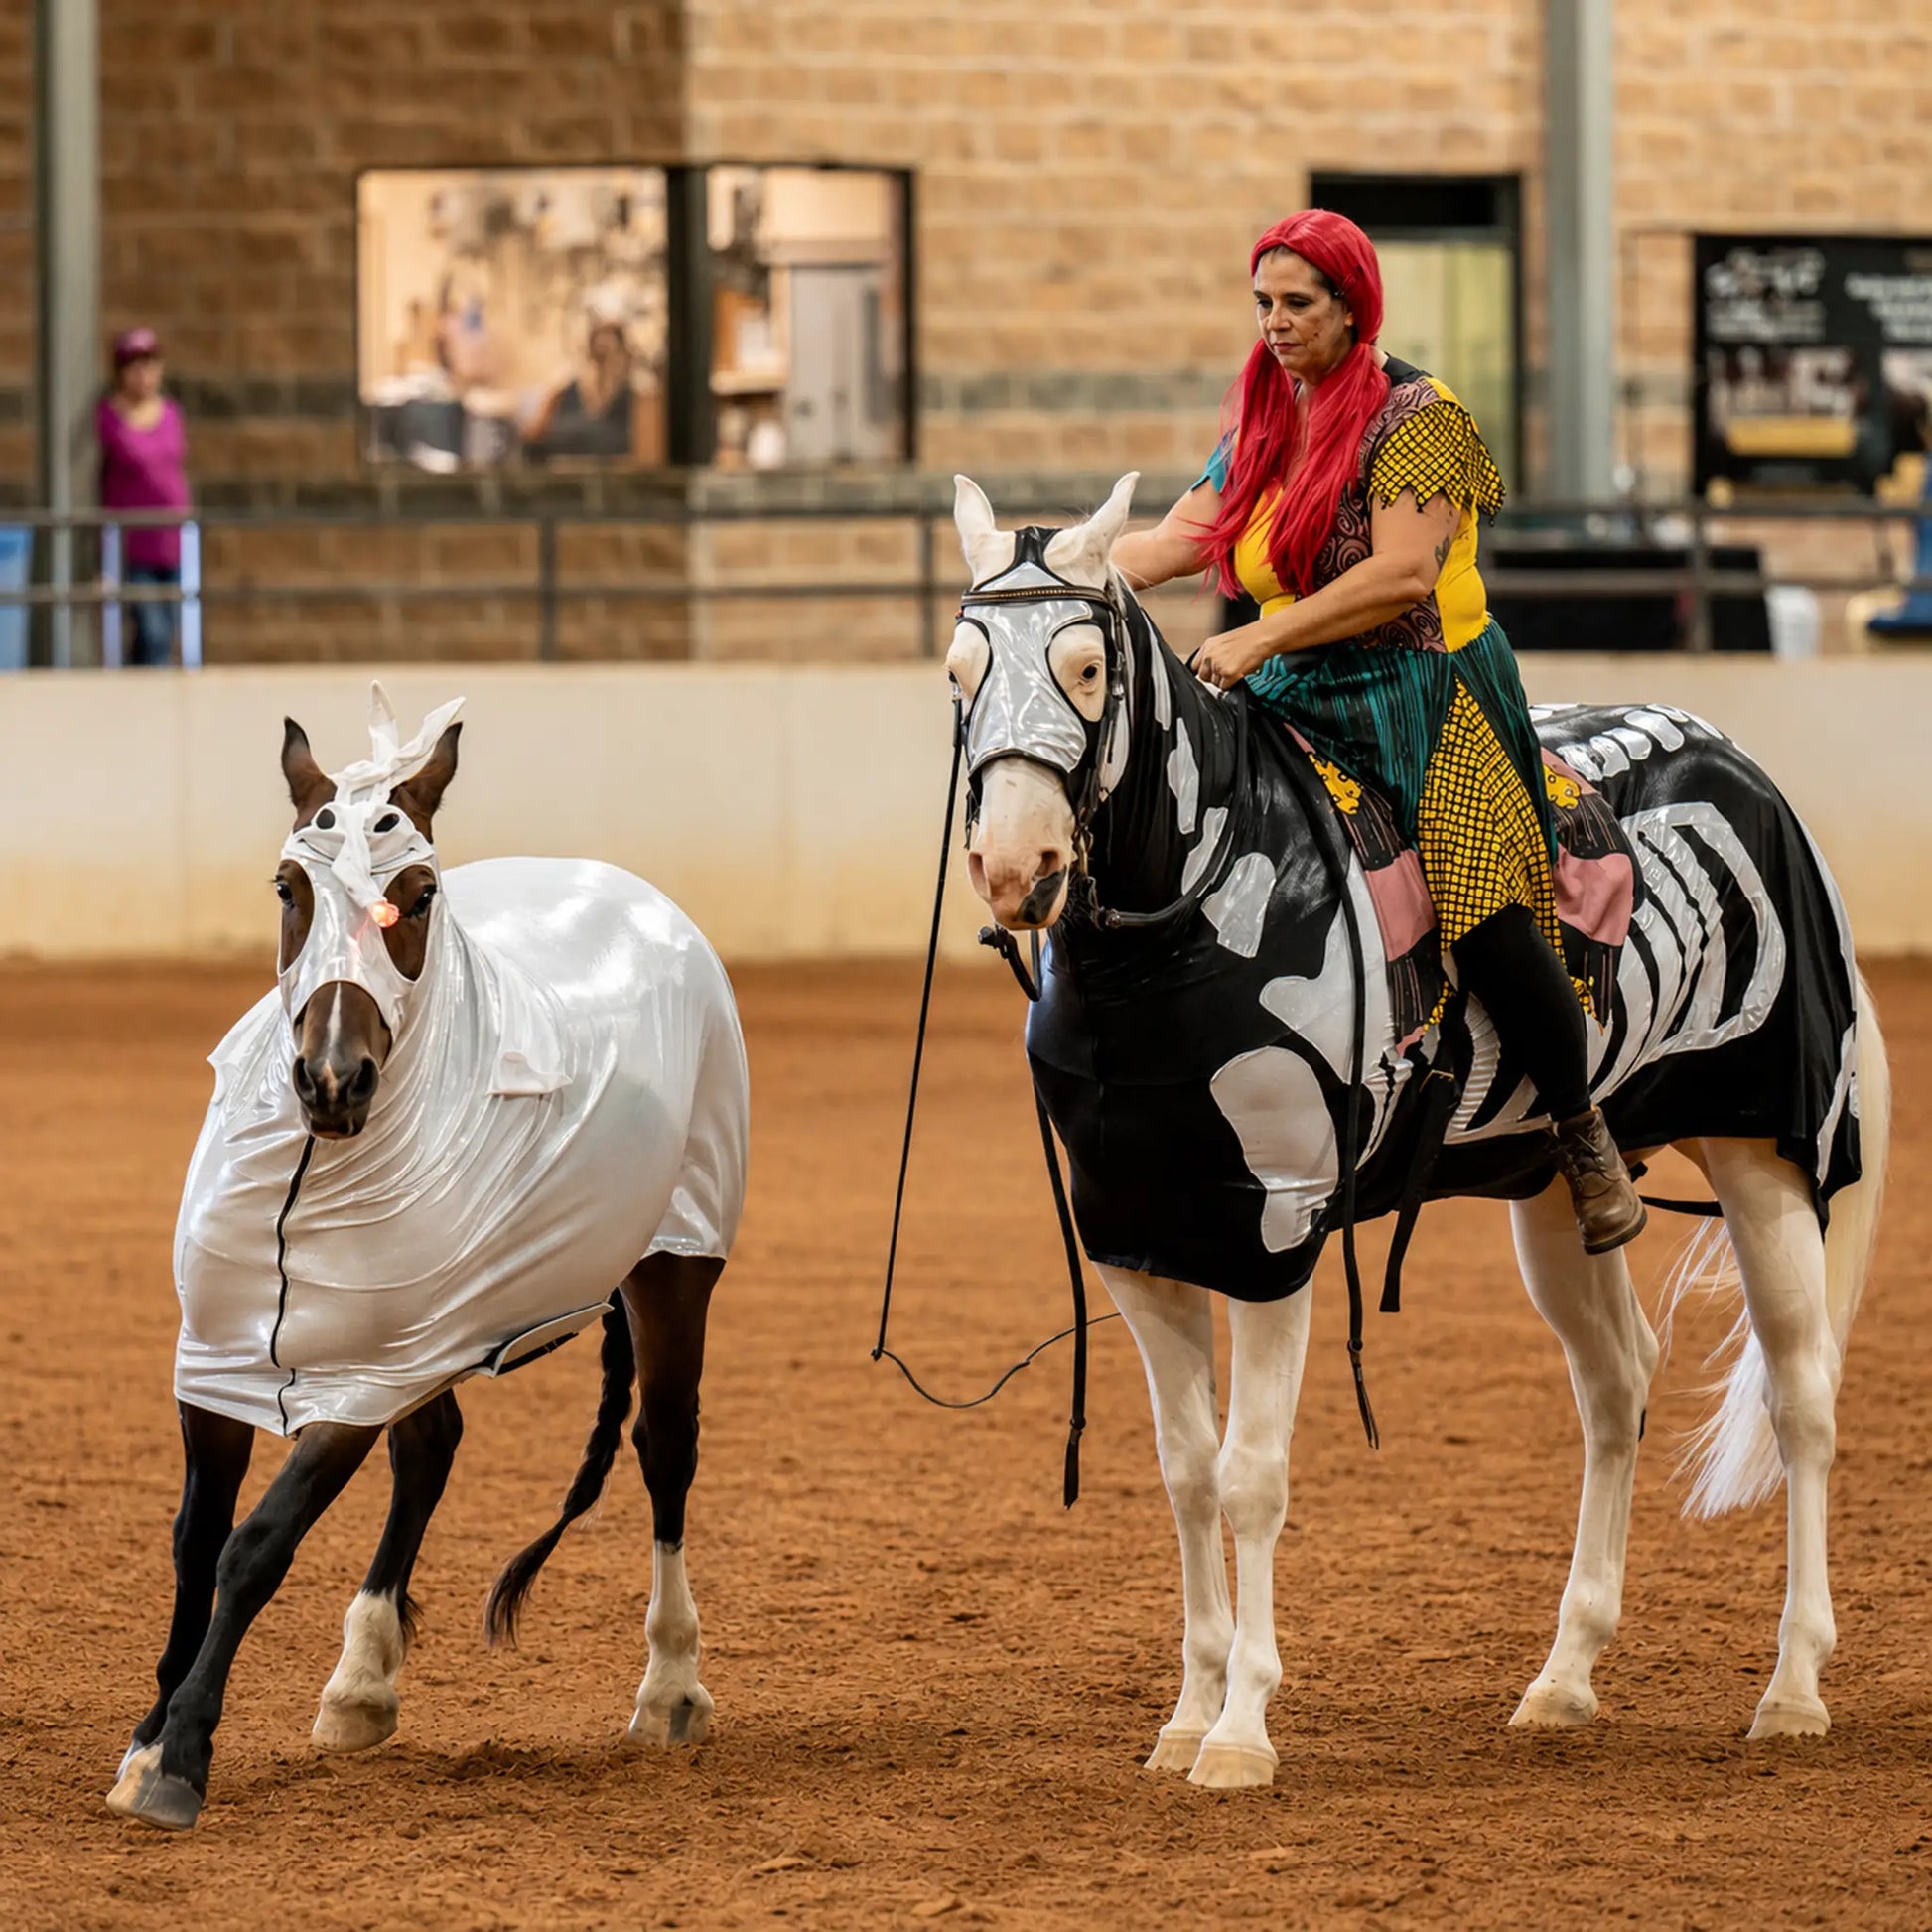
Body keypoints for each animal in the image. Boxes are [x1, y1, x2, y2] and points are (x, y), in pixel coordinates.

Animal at [107, 687, 749, 1831]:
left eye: (418, 892)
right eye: (289, 887)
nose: (332, 1081)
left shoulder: (356, 1387)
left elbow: (254, 1545)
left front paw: (181, 1755)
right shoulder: (218, 1366)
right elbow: (195, 1538)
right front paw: (144, 1744)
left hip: (675, 1265)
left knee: (665, 1447)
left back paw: (670, 1687)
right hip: (427, 1332)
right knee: (434, 1449)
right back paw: (360, 1685)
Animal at [947, 472, 1889, 1789]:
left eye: (1086, 667)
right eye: (957, 671)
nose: (1013, 864)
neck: (1195, 911)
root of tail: (1746, 772)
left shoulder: (1275, 1230)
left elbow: (1248, 1476)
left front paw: (1238, 1730)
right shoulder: (1138, 1239)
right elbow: (1184, 1475)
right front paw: (1185, 1714)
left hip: (1762, 1155)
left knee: (1801, 1396)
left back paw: (1792, 1684)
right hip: (1552, 1192)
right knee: (1616, 1382)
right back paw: (1563, 1674)